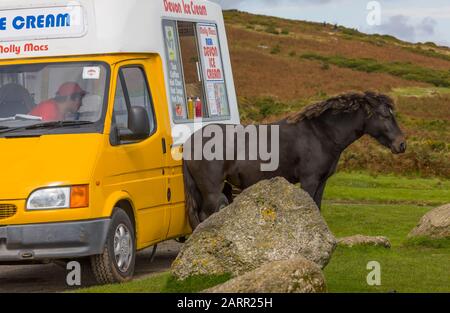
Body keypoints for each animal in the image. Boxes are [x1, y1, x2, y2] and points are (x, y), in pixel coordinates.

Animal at [181, 91, 406, 228]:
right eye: (385, 116)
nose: (402, 144)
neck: (320, 133)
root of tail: (190, 142)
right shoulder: (309, 180)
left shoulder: (322, 182)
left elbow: (317, 207)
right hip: (212, 191)